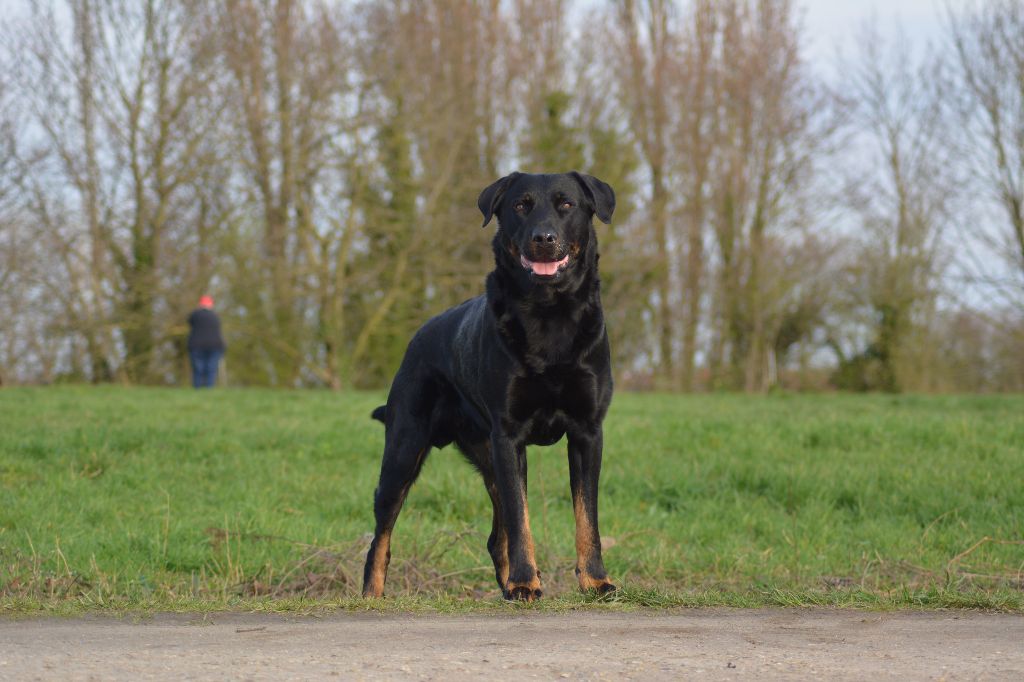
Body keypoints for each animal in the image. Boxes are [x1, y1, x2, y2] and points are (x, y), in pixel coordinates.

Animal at [362, 171, 614, 602]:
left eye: (566, 204)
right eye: (520, 206)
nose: (543, 238)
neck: (550, 313)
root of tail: (418, 337)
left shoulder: (587, 432)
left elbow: (587, 516)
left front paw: (595, 581)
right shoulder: (508, 437)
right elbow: (521, 519)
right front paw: (526, 582)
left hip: (487, 457)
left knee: (498, 537)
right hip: (404, 449)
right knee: (382, 534)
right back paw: (371, 596)